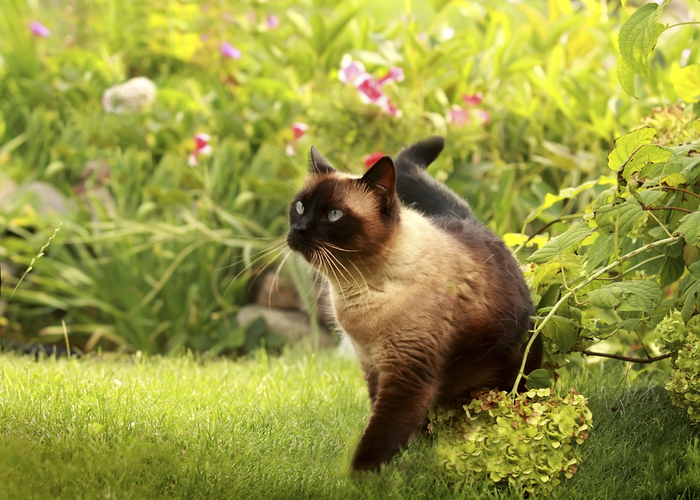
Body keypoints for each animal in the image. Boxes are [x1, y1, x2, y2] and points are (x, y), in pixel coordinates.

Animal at [286, 137, 540, 472]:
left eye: (334, 215)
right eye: (300, 207)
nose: (298, 230)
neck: (355, 288)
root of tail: (466, 220)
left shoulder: (406, 372)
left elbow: (380, 435)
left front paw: (358, 477)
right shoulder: (373, 366)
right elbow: (385, 419)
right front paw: (408, 455)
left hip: (518, 368)